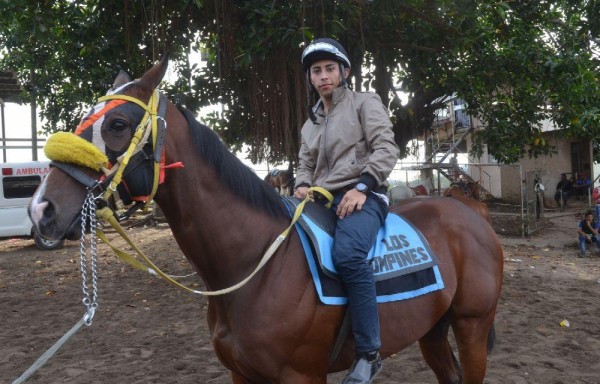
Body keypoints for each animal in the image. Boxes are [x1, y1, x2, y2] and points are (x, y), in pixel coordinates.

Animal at [30, 57, 504, 384]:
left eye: (117, 124)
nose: (41, 209)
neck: (257, 263)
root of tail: (470, 212)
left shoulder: (303, 376)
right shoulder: (243, 374)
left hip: (471, 326)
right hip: (433, 331)